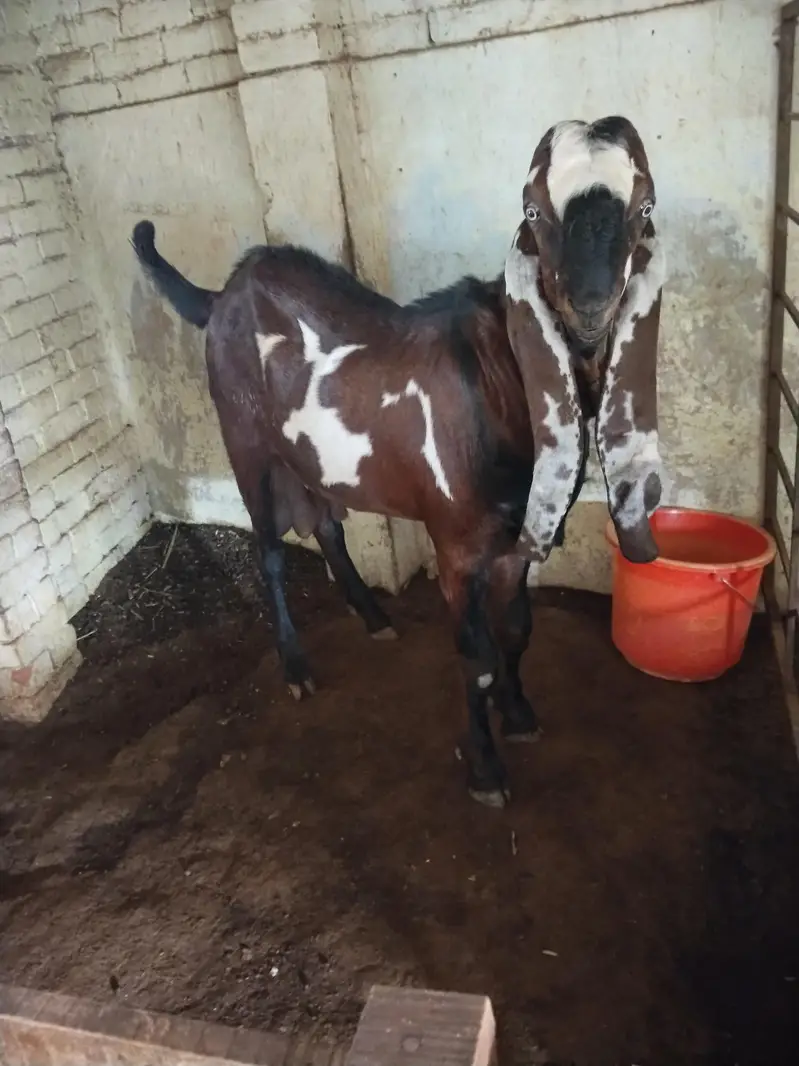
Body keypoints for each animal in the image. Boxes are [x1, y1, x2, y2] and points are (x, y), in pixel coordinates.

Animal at [131, 115, 666, 808]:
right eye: (533, 211)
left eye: (643, 205)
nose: (591, 302)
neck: (497, 383)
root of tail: (224, 293)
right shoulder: (456, 548)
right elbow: (478, 659)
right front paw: (485, 769)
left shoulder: (512, 540)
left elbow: (518, 630)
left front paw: (520, 716)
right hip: (244, 438)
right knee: (270, 550)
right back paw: (296, 666)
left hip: (308, 455)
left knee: (325, 522)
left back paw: (374, 616)